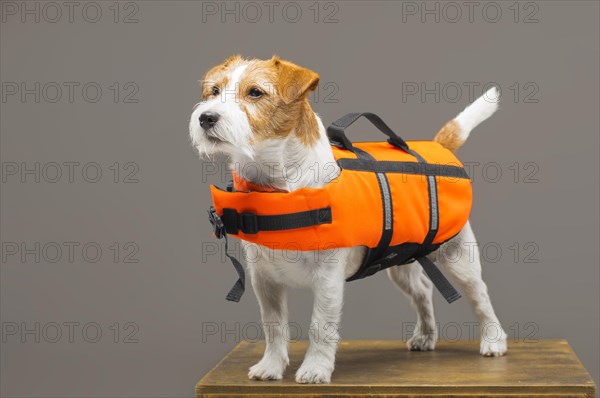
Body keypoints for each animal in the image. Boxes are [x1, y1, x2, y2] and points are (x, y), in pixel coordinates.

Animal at [189, 55, 506, 382]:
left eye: (255, 93)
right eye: (214, 91)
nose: (206, 118)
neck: (278, 185)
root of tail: (439, 146)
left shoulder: (328, 279)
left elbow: (320, 326)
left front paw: (315, 368)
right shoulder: (264, 280)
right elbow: (273, 326)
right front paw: (271, 366)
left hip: (458, 257)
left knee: (480, 295)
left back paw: (493, 341)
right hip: (401, 261)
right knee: (423, 290)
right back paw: (426, 336)